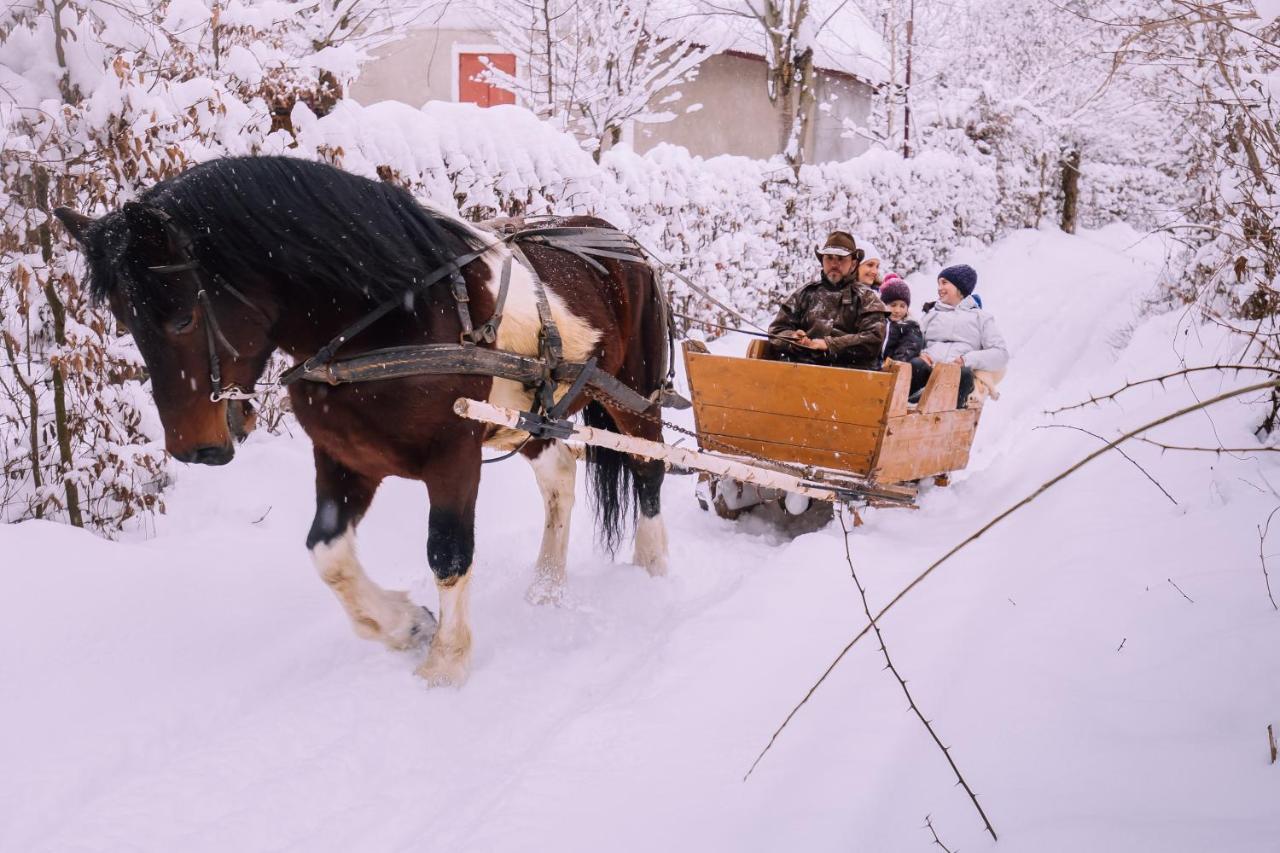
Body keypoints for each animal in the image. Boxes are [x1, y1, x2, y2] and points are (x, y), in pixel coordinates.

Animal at [52, 154, 670, 686]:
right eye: (126, 320)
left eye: (181, 317)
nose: (191, 449)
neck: (388, 322)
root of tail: (615, 236)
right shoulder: (345, 456)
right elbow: (326, 552)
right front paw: (405, 625)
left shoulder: (454, 456)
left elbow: (448, 552)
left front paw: (445, 663)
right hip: (534, 417)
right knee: (560, 476)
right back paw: (545, 587)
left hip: (635, 395)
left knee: (648, 468)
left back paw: (655, 568)